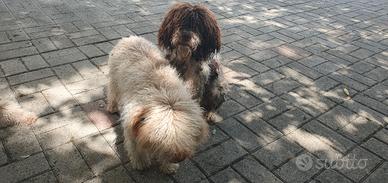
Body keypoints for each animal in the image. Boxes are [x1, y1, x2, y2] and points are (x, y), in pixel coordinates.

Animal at [106, 36, 209, 174]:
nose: (179, 158)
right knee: (112, 90)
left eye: (186, 136)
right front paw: (141, 162)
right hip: (114, 78)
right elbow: (136, 148)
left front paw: (168, 166)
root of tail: (130, 37)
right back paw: (112, 106)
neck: (164, 94)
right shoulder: (131, 125)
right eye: (163, 140)